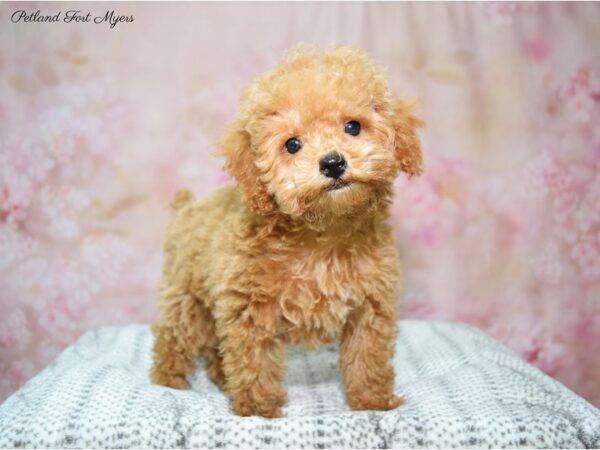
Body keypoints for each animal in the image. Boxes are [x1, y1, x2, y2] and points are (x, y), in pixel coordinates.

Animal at [150, 46, 422, 418]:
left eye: (353, 126)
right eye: (292, 145)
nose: (332, 162)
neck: (321, 234)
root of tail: (186, 208)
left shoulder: (370, 305)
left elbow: (368, 354)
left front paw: (372, 400)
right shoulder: (250, 306)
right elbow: (254, 360)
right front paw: (257, 408)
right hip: (186, 298)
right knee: (174, 337)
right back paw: (168, 381)